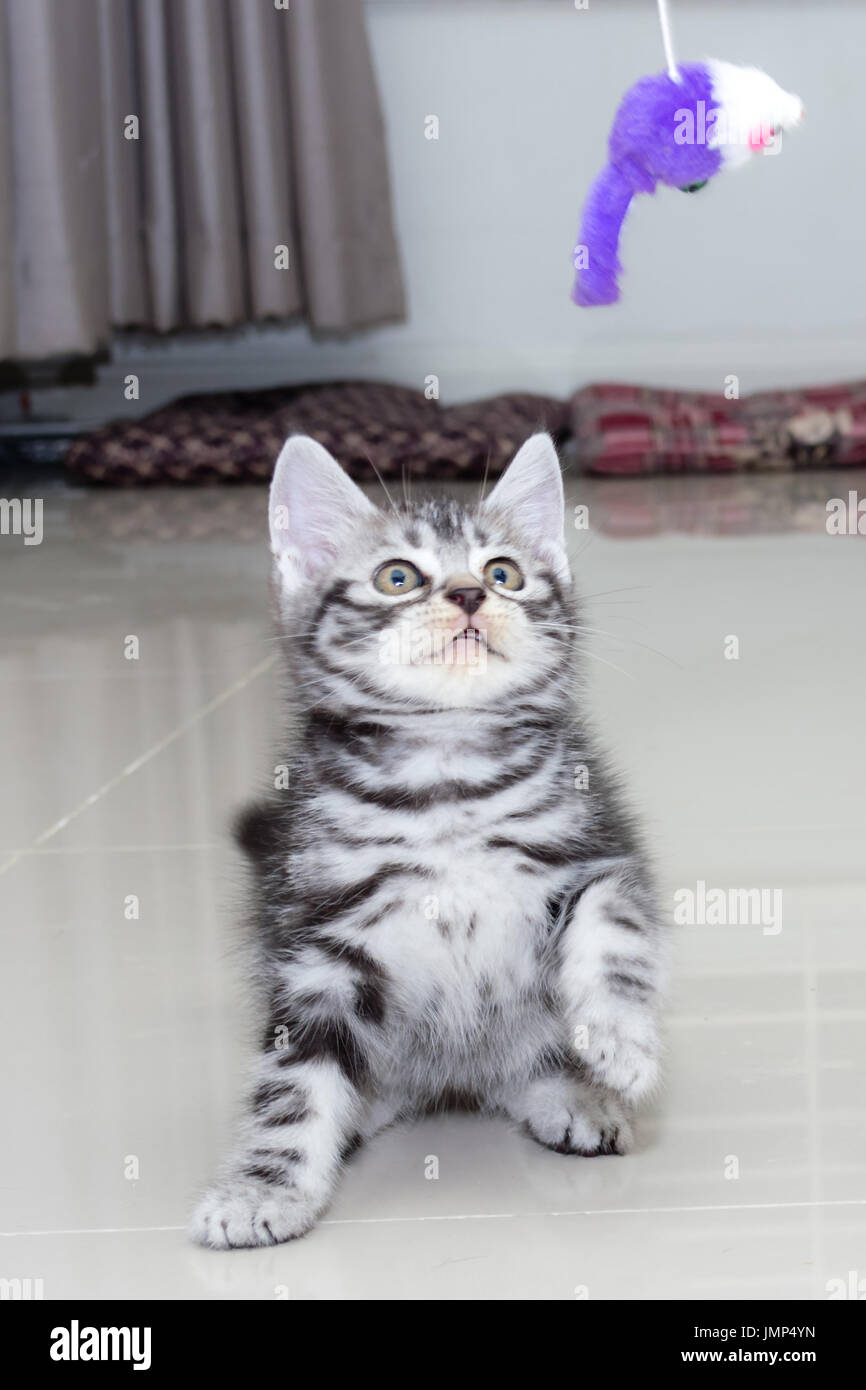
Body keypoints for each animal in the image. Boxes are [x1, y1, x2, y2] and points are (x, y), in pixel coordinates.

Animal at [191, 425, 664, 1251]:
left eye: (505, 572)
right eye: (398, 577)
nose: (471, 594)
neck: (447, 780)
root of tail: (453, 1082)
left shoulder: (596, 844)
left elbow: (613, 920)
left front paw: (620, 1039)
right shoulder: (318, 945)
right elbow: (293, 1085)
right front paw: (266, 1186)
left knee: (526, 1062)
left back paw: (570, 1093)